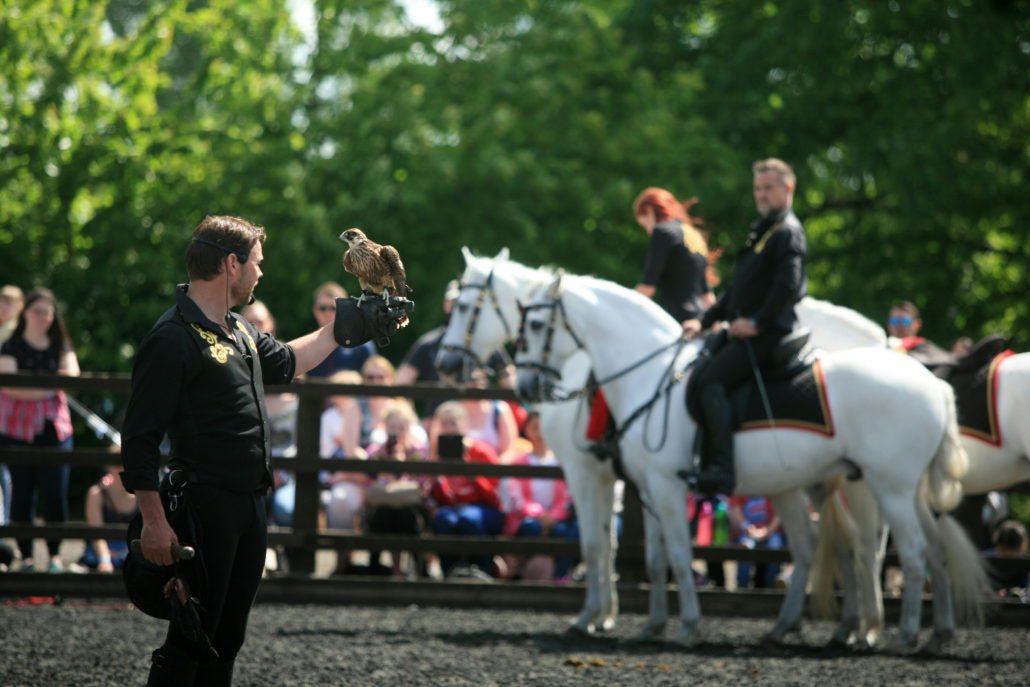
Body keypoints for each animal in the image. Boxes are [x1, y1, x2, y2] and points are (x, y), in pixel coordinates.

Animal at [514, 271, 985, 650]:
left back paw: (902, 634)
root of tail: (934, 384)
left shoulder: (658, 486)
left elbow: (677, 556)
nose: (523, 386)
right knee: (924, 550)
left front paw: (684, 626)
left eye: (536, 324)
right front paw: (650, 625)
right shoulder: (648, 489)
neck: (651, 378)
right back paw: (929, 632)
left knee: (908, 551)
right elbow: (655, 559)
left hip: (888, 488)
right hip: (898, 491)